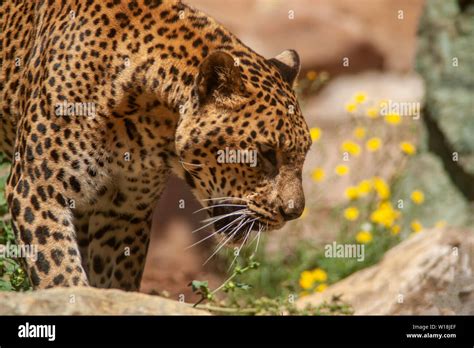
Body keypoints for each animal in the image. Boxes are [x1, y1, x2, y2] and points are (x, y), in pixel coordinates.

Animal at [0, 0, 314, 290]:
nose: (294, 212)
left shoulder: (123, 213)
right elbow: (60, 274)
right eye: (266, 153)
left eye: (304, 154)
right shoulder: (38, 189)